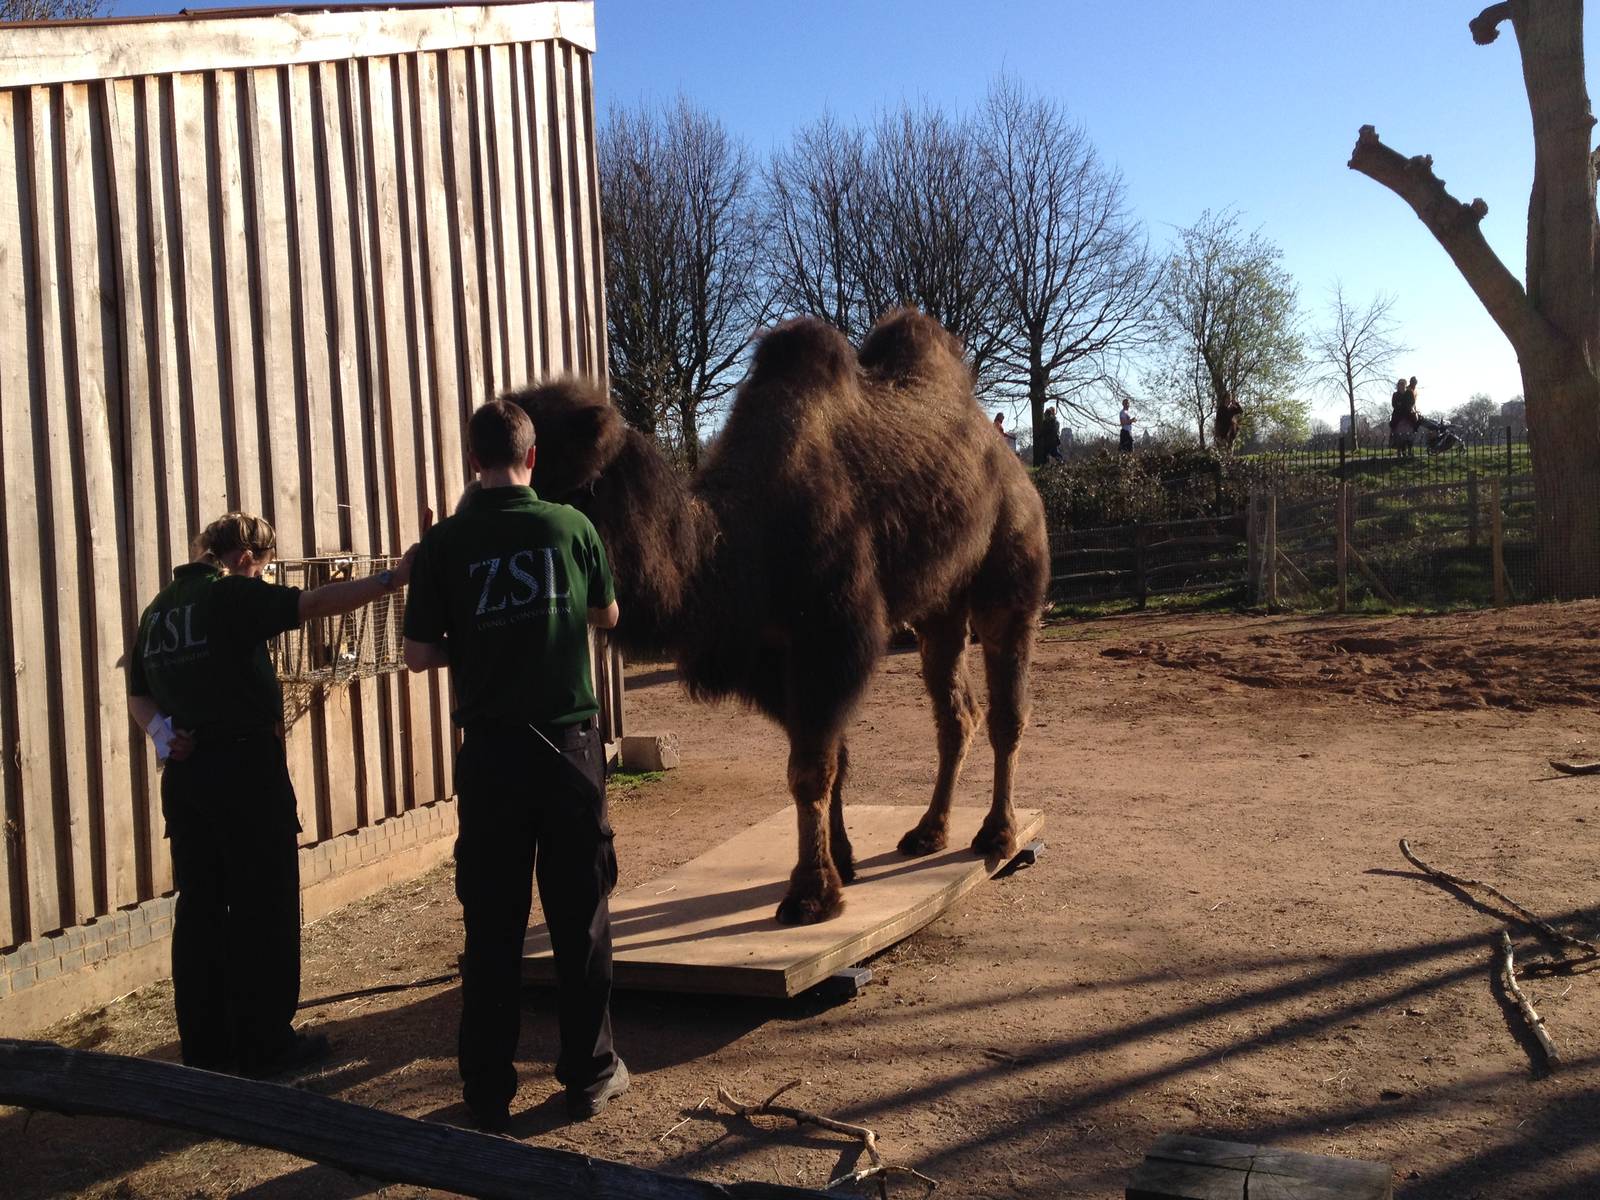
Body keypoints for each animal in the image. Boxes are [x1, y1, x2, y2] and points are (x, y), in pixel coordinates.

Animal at [506, 309, 1049, 924]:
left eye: (544, 462)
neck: (735, 541)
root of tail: (1011, 460)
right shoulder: (770, 657)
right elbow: (832, 758)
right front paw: (843, 862)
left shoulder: (831, 637)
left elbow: (809, 768)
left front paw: (811, 894)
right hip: (940, 607)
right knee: (956, 712)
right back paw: (929, 831)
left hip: (1010, 572)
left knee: (1007, 710)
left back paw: (997, 835)